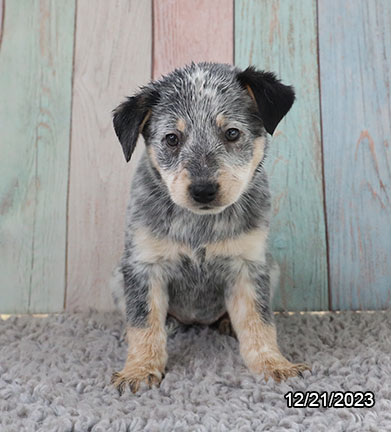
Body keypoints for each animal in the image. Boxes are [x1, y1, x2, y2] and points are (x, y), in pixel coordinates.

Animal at [109, 61, 310, 394]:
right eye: (172, 139)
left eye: (232, 133)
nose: (203, 190)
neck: (200, 227)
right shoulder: (143, 264)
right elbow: (143, 323)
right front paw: (139, 369)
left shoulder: (248, 265)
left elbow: (259, 322)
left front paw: (274, 364)